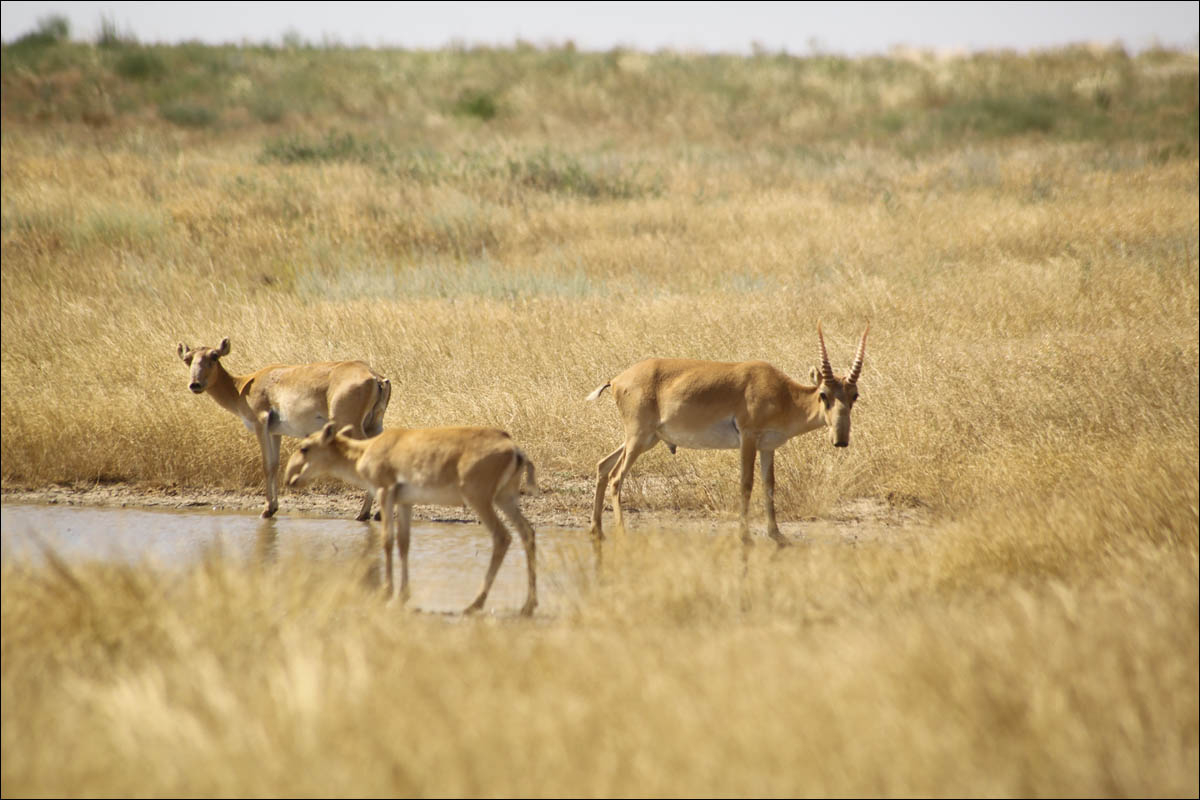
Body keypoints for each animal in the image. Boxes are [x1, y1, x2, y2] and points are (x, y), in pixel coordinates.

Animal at [175, 335, 391, 520]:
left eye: (214, 356)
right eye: (188, 358)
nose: (195, 384)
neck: (243, 386)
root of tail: (376, 377)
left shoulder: (261, 424)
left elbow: (266, 465)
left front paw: (266, 510)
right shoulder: (275, 432)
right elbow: (275, 464)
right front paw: (273, 507)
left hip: (350, 426)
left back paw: (364, 514)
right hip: (374, 426)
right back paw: (373, 514)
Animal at [283, 422, 537, 618]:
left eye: (304, 448)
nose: (289, 479)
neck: (365, 452)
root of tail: (515, 449)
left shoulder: (385, 493)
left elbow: (387, 540)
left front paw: (386, 592)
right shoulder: (405, 503)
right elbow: (404, 543)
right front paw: (403, 595)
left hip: (480, 499)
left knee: (502, 537)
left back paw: (474, 604)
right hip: (505, 499)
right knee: (527, 532)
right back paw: (527, 606)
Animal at [585, 323, 868, 544]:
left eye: (854, 395)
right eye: (824, 394)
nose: (840, 440)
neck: (783, 394)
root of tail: (617, 380)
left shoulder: (768, 447)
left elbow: (769, 485)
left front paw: (777, 535)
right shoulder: (748, 439)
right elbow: (746, 483)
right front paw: (745, 536)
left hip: (646, 439)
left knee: (602, 466)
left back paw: (596, 530)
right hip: (638, 438)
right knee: (616, 477)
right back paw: (621, 533)